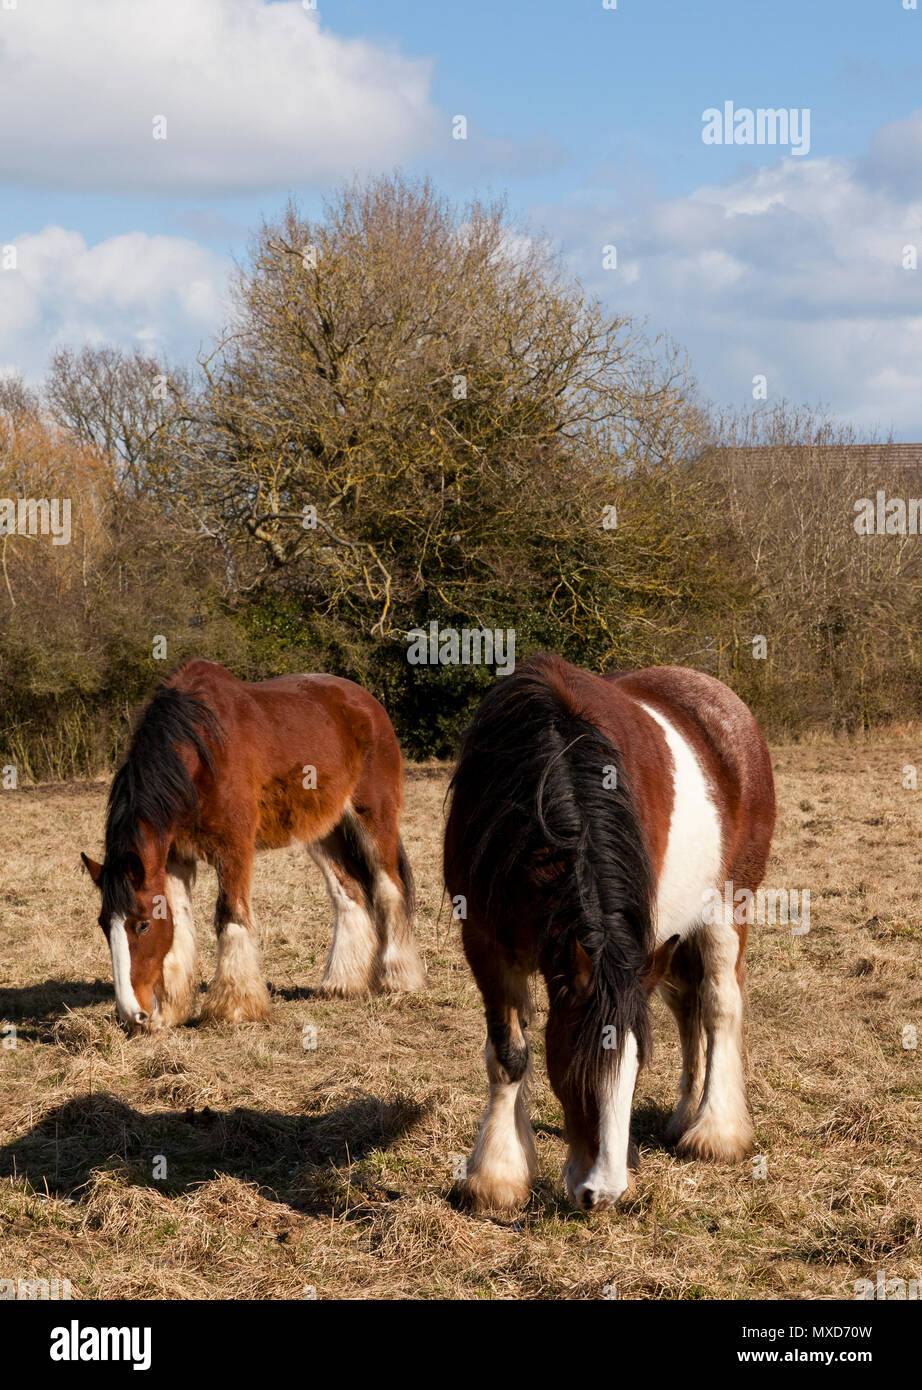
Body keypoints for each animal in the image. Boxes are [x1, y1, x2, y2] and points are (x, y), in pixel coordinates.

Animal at [81, 659, 426, 1032]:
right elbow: (181, 925)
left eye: (142, 924)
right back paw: (342, 983)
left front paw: (235, 1008)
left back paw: (399, 978)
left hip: (374, 818)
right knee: (348, 891)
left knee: (389, 886)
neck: (200, 750)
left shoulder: (234, 849)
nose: (132, 1014)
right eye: (103, 924)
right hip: (325, 830)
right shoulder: (173, 858)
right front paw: (171, 1010)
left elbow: (230, 916)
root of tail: (369, 704)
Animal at [443, 654, 775, 1214]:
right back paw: (685, 1115)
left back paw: (715, 1131)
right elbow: (509, 1053)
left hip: (729, 906)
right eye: (575, 1069)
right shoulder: (485, 942)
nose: (603, 1192)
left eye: (636, 1071)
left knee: (718, 1006)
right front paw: (496, 1178)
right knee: (688, 1009)